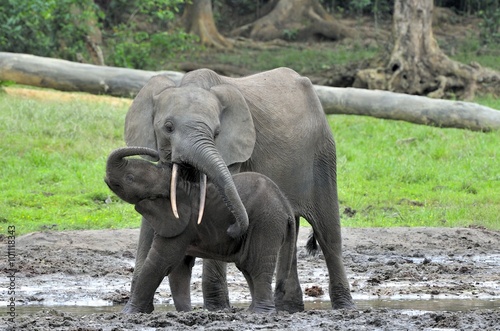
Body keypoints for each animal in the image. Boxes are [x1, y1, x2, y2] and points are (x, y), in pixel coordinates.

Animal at [103, 147, 294, 314]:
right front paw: (185, 312)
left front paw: (128, 314)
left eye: (130, 178)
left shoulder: (182, 225)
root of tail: (287, 206)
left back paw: (261, 313)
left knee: (256, 267)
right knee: (248, 268)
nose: (157, 154)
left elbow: (161, 262)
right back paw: (252, 311)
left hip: (267, 222)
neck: (174, 185)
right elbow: (179, 267)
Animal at [124, 67, 356, 312]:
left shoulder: (233, 156)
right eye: (168, 127)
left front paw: (218, 309)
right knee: (290, 238)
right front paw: (137, 308)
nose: (235, 229)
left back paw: (344, 307)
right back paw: (289, 308)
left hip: (323, 155)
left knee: (328, 235)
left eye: (217, 132)